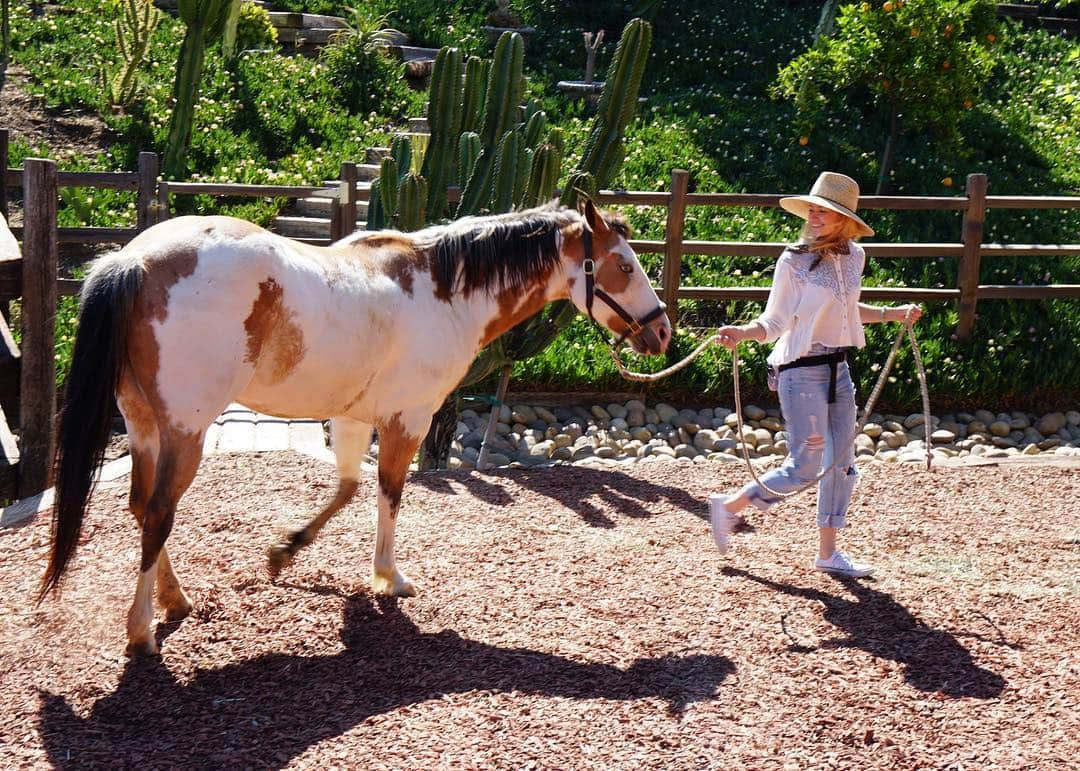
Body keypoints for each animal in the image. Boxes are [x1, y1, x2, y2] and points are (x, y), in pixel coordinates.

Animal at [38, 199, 669, 656]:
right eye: (624, 265)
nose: (662, 332)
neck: (443, 291)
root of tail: (135, 261)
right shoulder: (408, 420)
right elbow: (390, 494)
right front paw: (388, 577)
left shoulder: (350, 417)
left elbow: (345, 488)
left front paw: (285, 552)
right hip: (184, 433)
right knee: (158, 515)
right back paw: (142, 630)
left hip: (144, 425)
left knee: (141, 507)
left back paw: (176, 601)